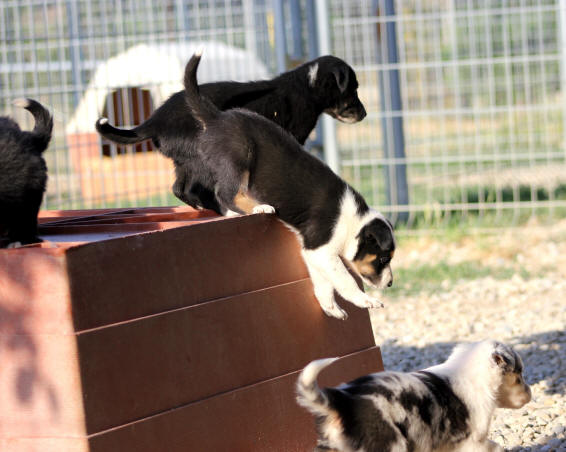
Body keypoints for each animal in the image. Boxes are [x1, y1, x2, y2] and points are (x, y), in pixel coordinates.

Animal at [95, 54, 366, 214]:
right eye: (353, 89)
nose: (364, 114)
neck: (306, 86)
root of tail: (155, 120)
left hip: (185, 161)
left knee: (179, 189)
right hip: (203, 159)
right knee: (200, 190)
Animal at [182, 49, 394, 318]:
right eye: (383, 259)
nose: (391, 283)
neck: (352, 222)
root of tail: (217, 117)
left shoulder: (313, 253)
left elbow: (324, 284)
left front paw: (331, 309)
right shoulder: (321, 249)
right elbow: (344, 279)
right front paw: (366, 301)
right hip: (240, 155)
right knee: (225, 194)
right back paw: (255, 208)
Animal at [300, 340, 536, 450]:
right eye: (520, 375)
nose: (531, 393)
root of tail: (344, 400)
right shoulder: (471, 441)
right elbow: (495, 447)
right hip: (389, 444)